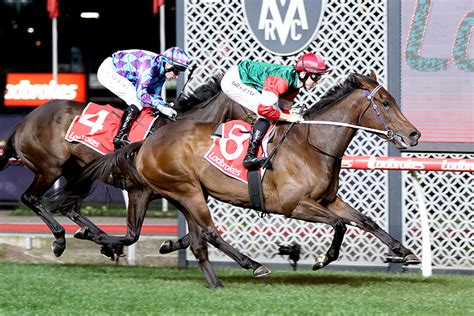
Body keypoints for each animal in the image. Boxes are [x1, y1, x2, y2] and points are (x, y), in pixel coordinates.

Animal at [0, 77, 254, 260]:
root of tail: (24, 122)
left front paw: (168, 244)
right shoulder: (141, 189)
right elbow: (134, 234)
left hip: (77, 172)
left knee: (68, 206)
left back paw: (98, 238)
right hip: (49, 169)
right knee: (30, 198)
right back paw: (61, 239)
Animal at [51, 73, 422, 288]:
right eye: (386, 102)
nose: (414, 134)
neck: (311, 145)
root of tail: (147, 142)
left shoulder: (328, 200)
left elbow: (365, 221)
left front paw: (406, 253)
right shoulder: (295, 205)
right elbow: (341, 226)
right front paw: (322, 259)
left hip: (181, 192)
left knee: (183, 235)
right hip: (186, 191)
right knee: (208, 233)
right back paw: (251, 266)